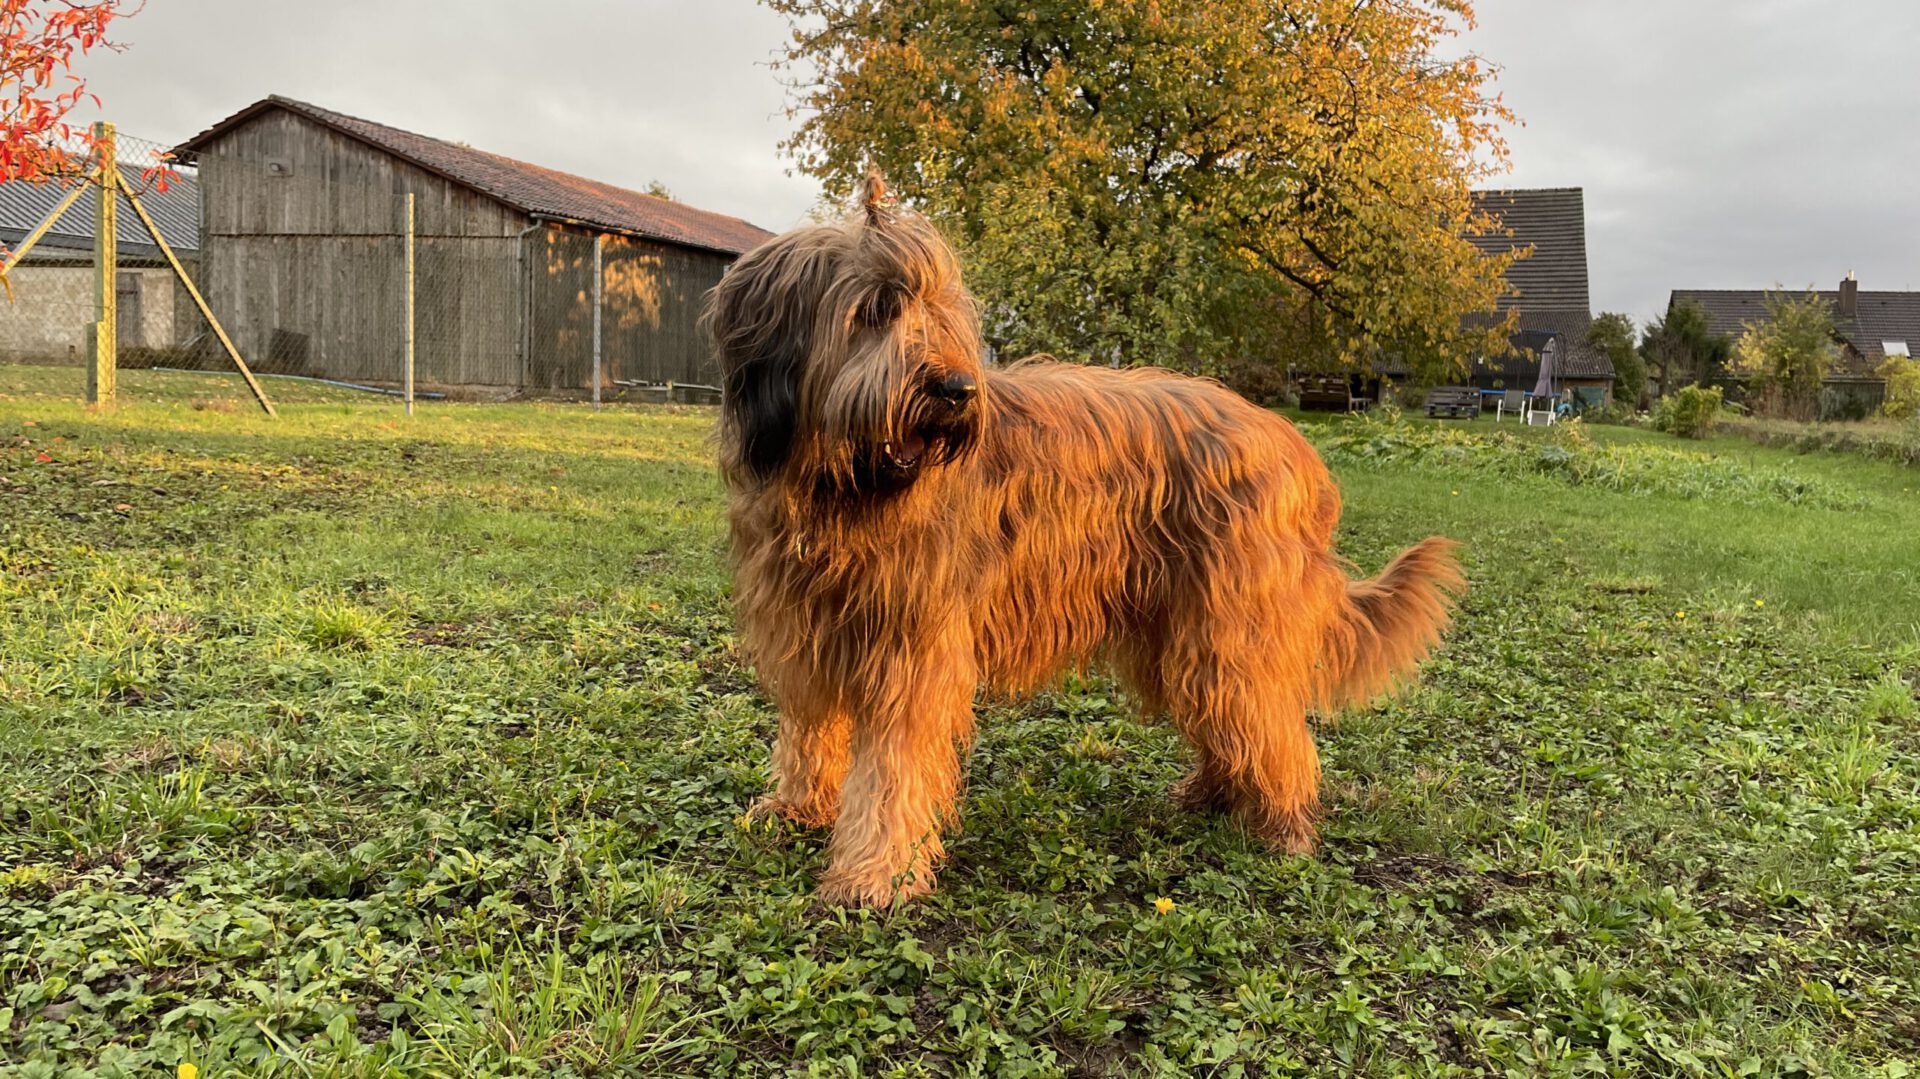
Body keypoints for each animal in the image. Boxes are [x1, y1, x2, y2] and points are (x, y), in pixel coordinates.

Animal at [714, 178, 1459, 906]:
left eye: (943, 314)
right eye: (874, 310)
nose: (956, 389)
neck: (845, 493)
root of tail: (1292, 445)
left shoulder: (913, 648)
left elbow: (892, 770)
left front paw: (874, 874)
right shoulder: (805, 629)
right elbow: (809, 730)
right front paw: (796, 807)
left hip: (1230, 625)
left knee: (1268, 721)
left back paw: (1283, 823)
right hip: (1177, 630)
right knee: (1227, 716)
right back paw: (1213, 791)